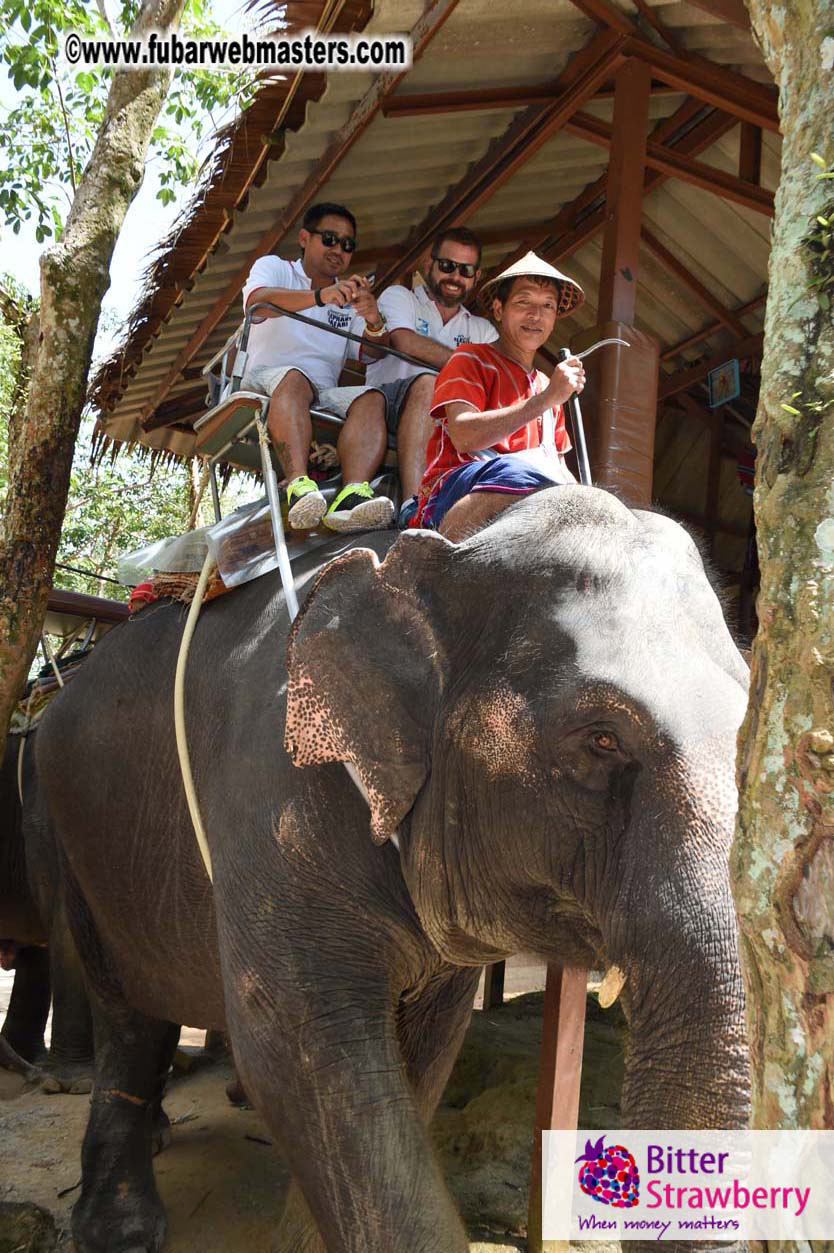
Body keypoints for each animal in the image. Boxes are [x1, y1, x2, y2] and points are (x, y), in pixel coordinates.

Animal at [34, 485, 751, 1253]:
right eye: (602, 738)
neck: (441, 553)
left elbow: (425, 1051)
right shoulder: (273, 798)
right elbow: (301, 1048)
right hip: (72, 832)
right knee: (128, 1017)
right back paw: (119, 1226)